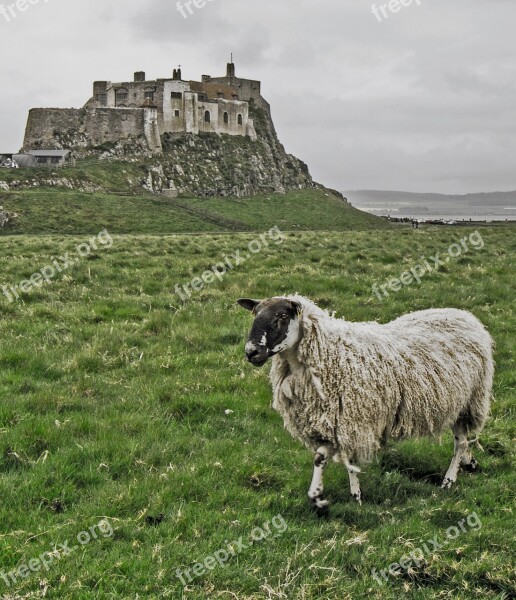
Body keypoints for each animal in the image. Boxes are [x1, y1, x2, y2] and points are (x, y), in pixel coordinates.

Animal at [238, 296, 496, 510]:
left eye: (282, 316)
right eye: (255, 313)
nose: (251, 352)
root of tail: (465, 316)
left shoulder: (352, 419)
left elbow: (348, 461)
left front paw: (356, 497)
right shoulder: (327, 422)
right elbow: (320, 457)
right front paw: (316, 496)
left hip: (470, 400)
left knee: (460, 442)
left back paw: (449, 480)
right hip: (457, 403)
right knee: (464, 440)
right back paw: (469, 462)